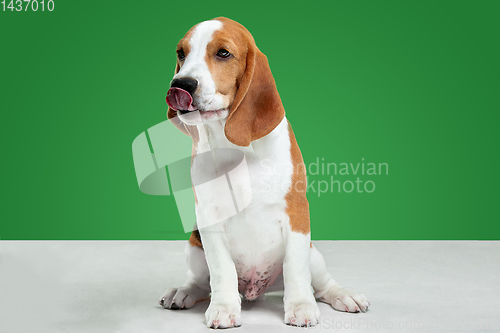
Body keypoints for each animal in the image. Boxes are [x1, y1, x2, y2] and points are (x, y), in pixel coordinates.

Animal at [158, 17, 370, 326]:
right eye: (181, 53)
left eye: (223, 53)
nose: (181, 84)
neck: (237, 148)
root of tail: (255, 290)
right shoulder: (209, 219)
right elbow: (221, 270)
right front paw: (223, 308)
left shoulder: (297, 214)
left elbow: (296, 269)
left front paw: (300, 306)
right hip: (194, 249)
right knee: (200, 282)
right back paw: (182, 292)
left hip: (314, 255)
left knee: (321, 284)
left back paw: (343, 295)